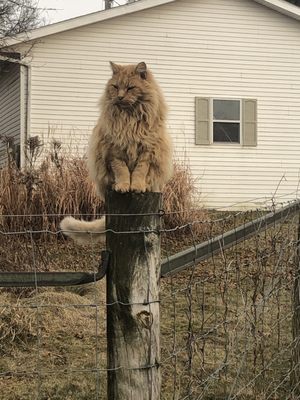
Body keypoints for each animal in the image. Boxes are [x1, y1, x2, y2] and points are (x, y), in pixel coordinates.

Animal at [59, 62, 172, 244]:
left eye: (130, 88)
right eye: (115, 87)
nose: (119, 97)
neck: (129, 119)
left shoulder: (147, 151)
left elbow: (139, 172)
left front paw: (137, 186)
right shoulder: (114, 152)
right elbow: (122, 171)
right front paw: (123, 186)